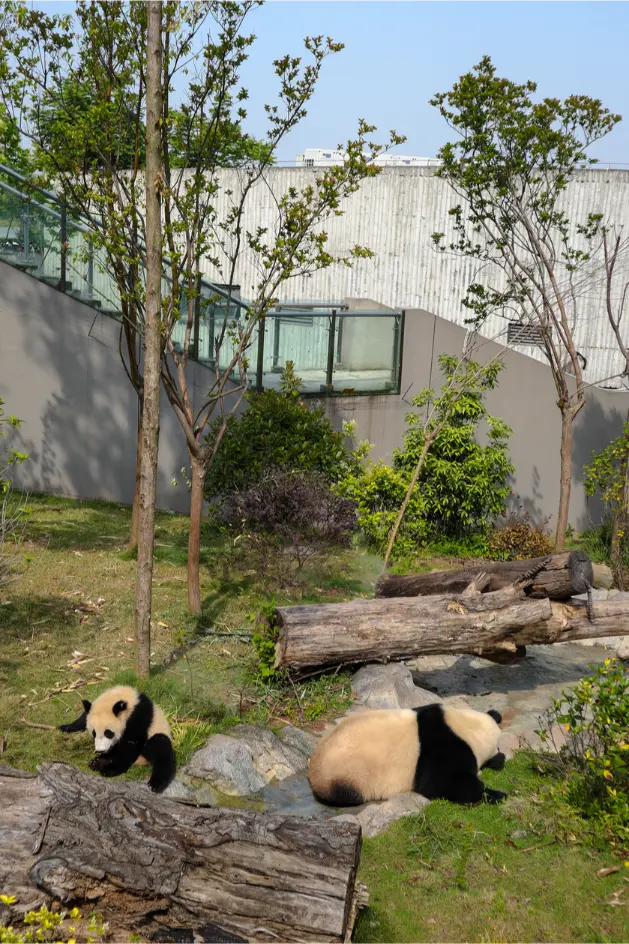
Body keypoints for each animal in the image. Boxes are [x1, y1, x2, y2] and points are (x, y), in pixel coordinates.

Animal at [308, 703, 507, 807]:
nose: (499, 753)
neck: (468, 727)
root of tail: (312, 772)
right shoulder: (443, 751)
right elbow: (444, 784)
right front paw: (497, 793)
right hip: (349, 774)